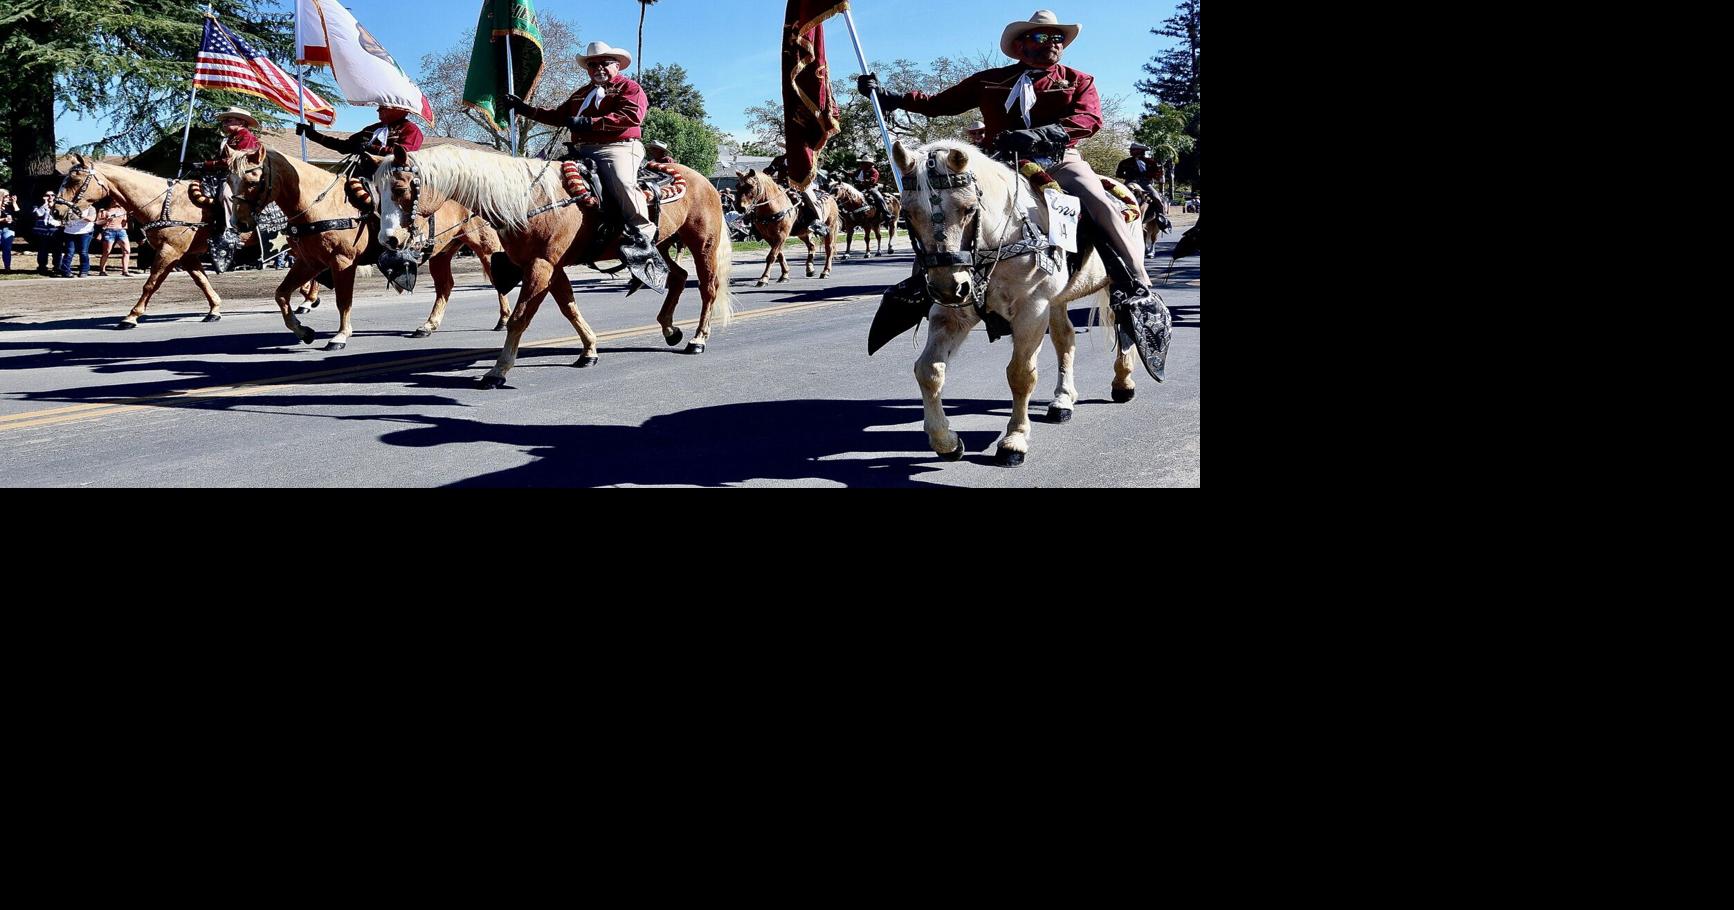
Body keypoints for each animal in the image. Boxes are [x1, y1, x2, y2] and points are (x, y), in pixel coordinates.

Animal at [52, 154, 319, 327]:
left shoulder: (169, 251)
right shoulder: (187, 255)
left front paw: (132, 316)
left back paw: (308, 300)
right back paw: (308, 299)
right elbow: (202, 281)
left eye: (75, 180)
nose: (56, 210)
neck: (163, 203)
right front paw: (214, 310)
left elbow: (150, 284)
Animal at [369, 143, 735, 388]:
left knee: (707, 288)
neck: (528, 199)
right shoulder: (551, 267)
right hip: (660, 246)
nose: (388, 240)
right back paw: (670, 329)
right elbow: (569, 307)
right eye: (376, 191)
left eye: (400, 188)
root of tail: (705, 181)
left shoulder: (540, 266)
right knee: (678, 277)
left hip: (703, 243)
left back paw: (698, 339)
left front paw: (498, 370)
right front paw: (589, 351)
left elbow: (520, 318)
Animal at [894, 140, 1137, 468]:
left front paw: (1014, 440)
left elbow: (1021, 374)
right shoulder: (952, 313)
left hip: (1113, 284)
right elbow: (928, 370)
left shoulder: (1031, 311)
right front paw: (945, 441)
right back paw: (1063, 399)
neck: (1001, 238)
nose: (947, 287)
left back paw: (1123, 382)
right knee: (1065, 339)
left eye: (969, 208)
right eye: (907, 214)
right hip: (1057, 301)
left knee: (1123, 326)